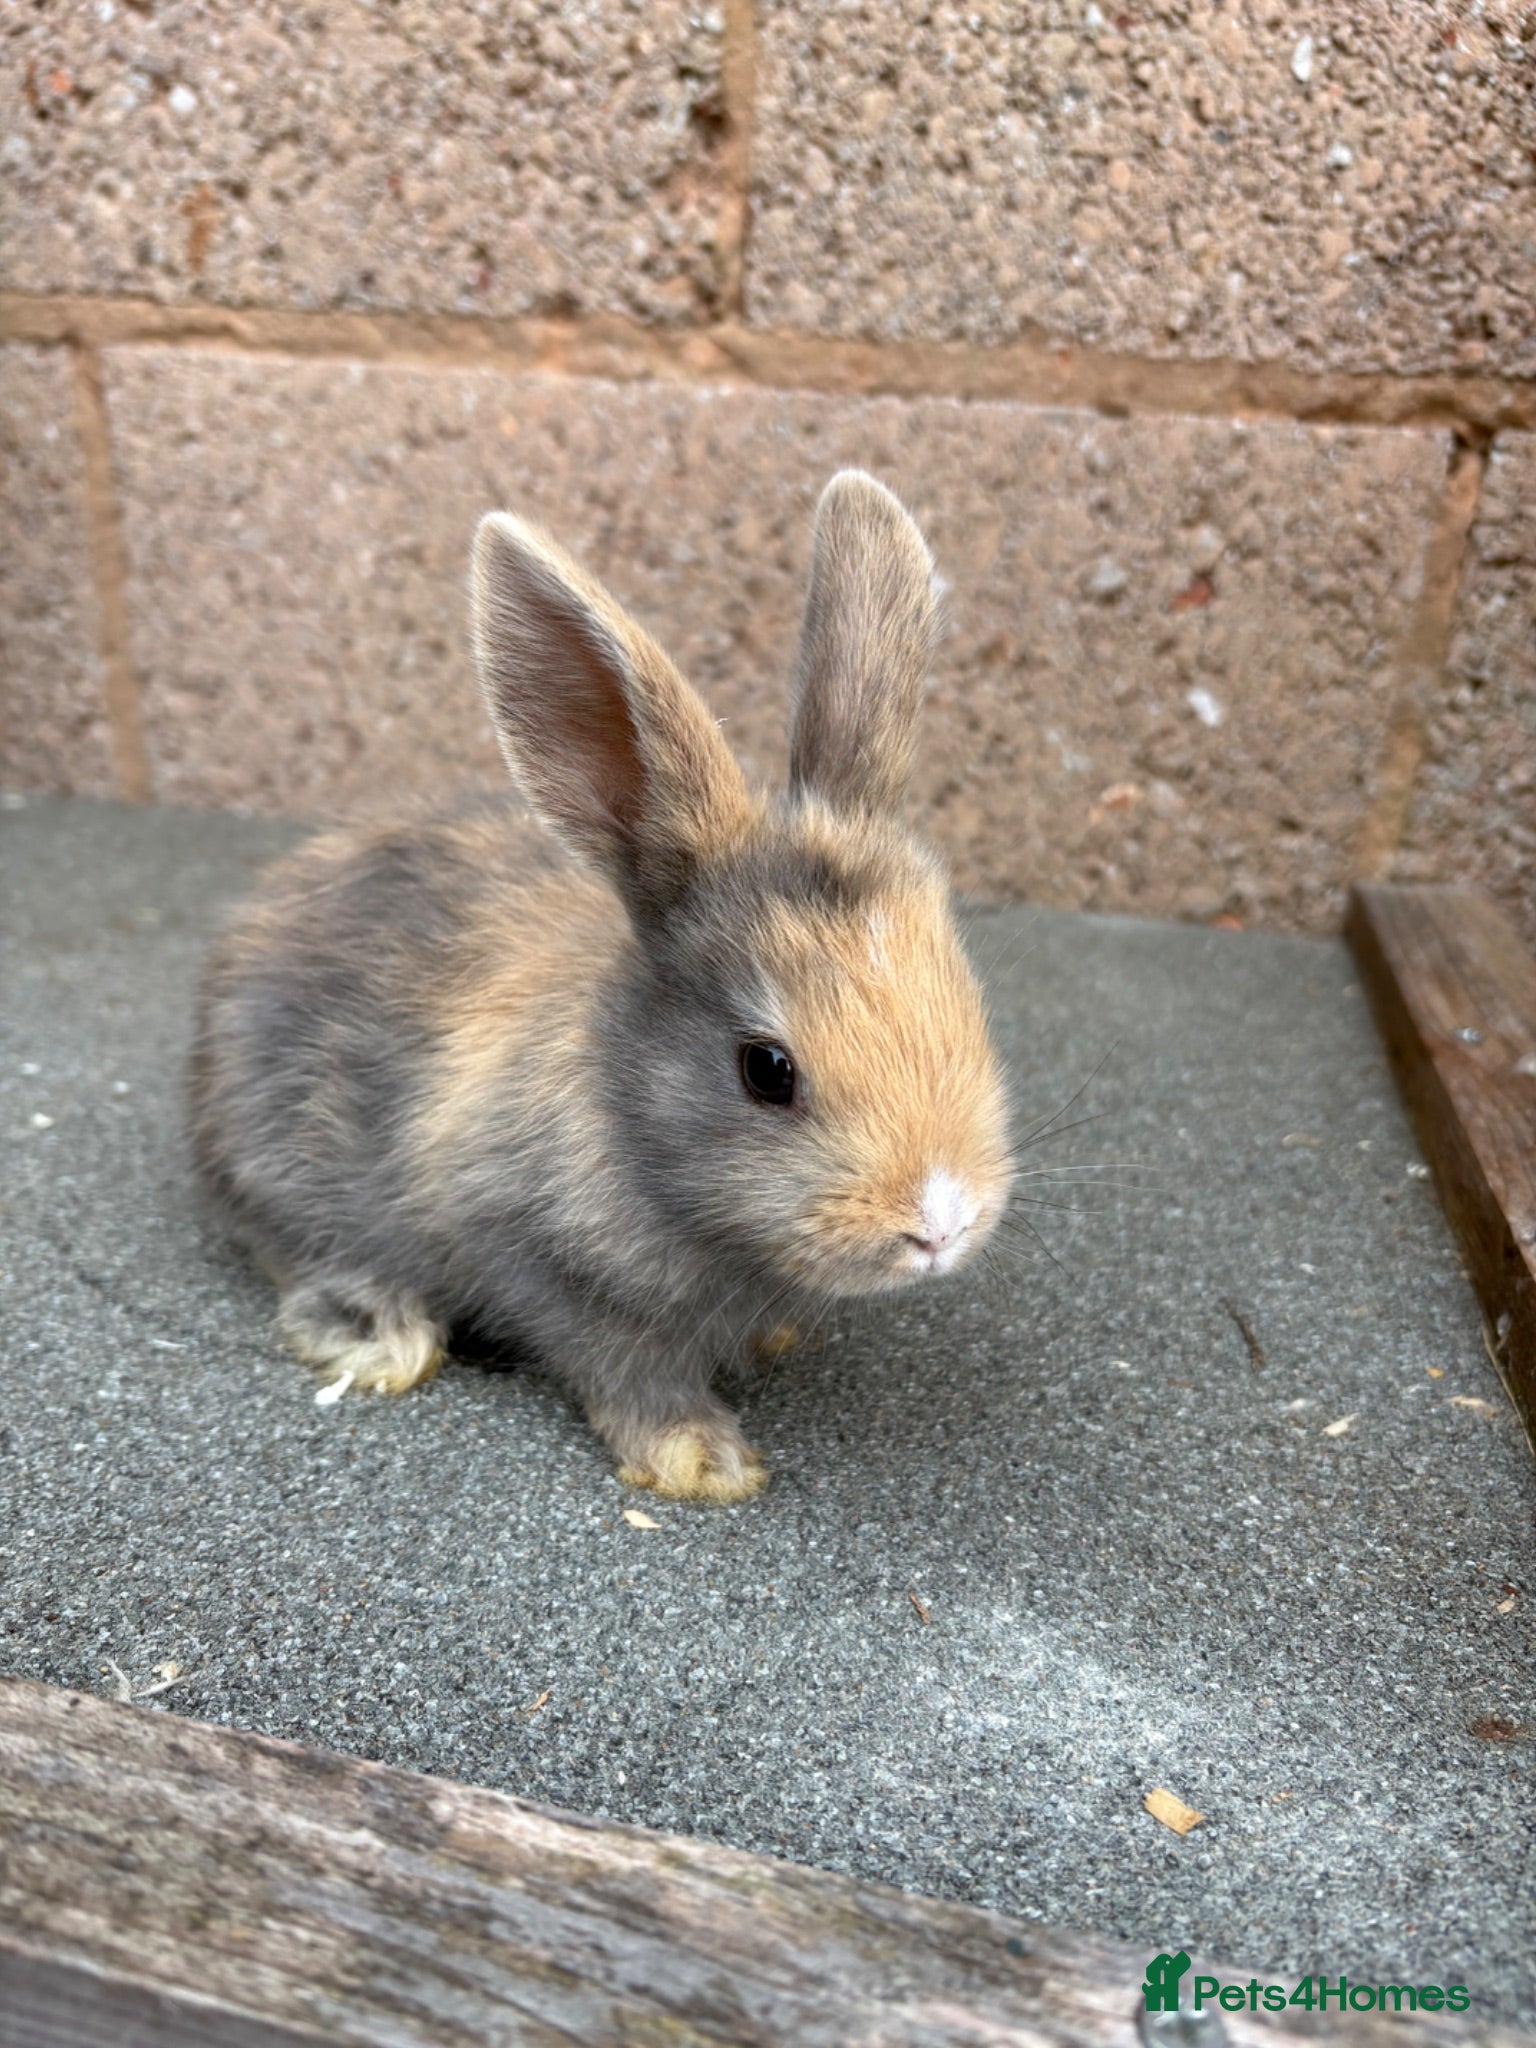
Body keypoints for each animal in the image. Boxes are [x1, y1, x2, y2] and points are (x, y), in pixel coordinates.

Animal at [190, 471, 1015, 1503]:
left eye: (969, 1005)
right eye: (766, 1069)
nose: (939, 1225)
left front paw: (772, 1345)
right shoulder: (541, 1261)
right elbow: (625, 1367)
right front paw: (702, 1462)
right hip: (283, 1161)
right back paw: (380, 1335)